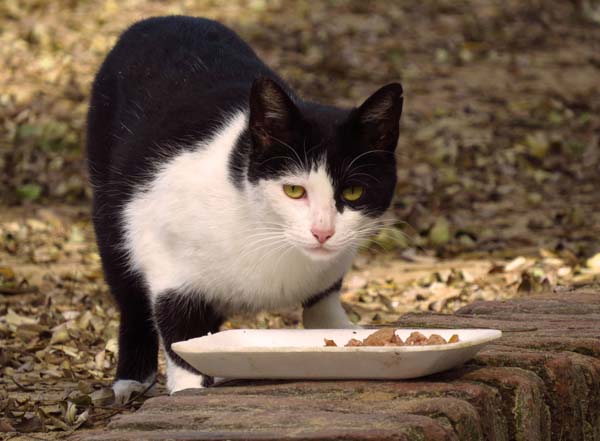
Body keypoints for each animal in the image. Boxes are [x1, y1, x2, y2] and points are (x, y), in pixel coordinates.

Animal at [85, 16, 404, 402]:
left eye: (354, 191)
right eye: (294, 190)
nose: (322, 231)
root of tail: (158, 19)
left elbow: (324, 299)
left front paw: (341, 333)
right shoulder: (163, 249)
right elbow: (180, 332)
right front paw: (188, 389)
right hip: (108, 199)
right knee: (128, 290)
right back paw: (132, 377)